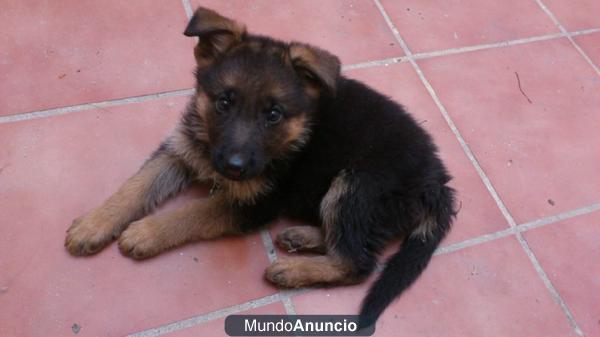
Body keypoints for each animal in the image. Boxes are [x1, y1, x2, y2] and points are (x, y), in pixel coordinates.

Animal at [64, 6, 454, 328]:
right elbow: (137, 185)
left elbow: (193, 212)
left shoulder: (256, 201)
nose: (233, 167)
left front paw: (147, 232)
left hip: (358, 184)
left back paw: (293, 269)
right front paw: (95, 223)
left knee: (358, 262)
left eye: (273, 114)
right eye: (224, 102)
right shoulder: (182, 149)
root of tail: (437, 183)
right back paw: (303, 237)